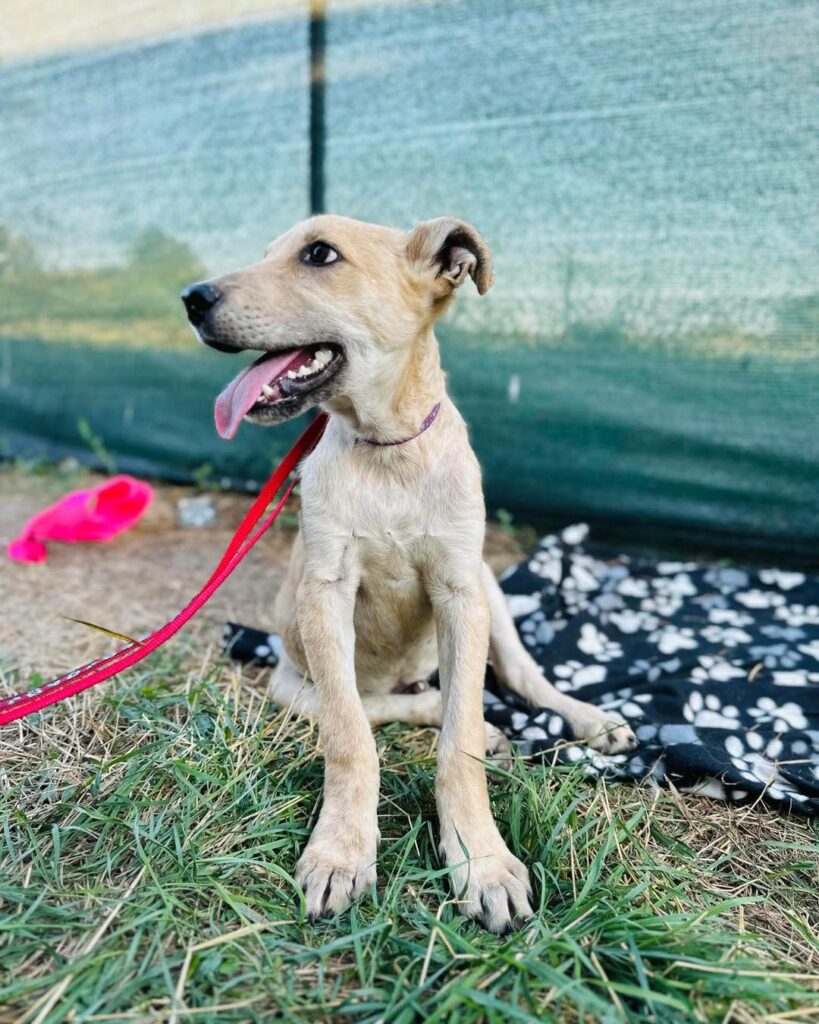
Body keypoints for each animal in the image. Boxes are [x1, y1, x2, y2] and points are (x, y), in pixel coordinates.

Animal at [182, 214, 637, 932]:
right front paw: (342, 851)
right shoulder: (324, 595)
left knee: (521, 681)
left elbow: (459, 744)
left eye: (319, 254)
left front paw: (481, 860)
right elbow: (350, 737)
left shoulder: (459, 589)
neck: (388, 450)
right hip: (292, 677)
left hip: (489, 591)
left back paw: (588, 719)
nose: (191, 299)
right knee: (380, 707)